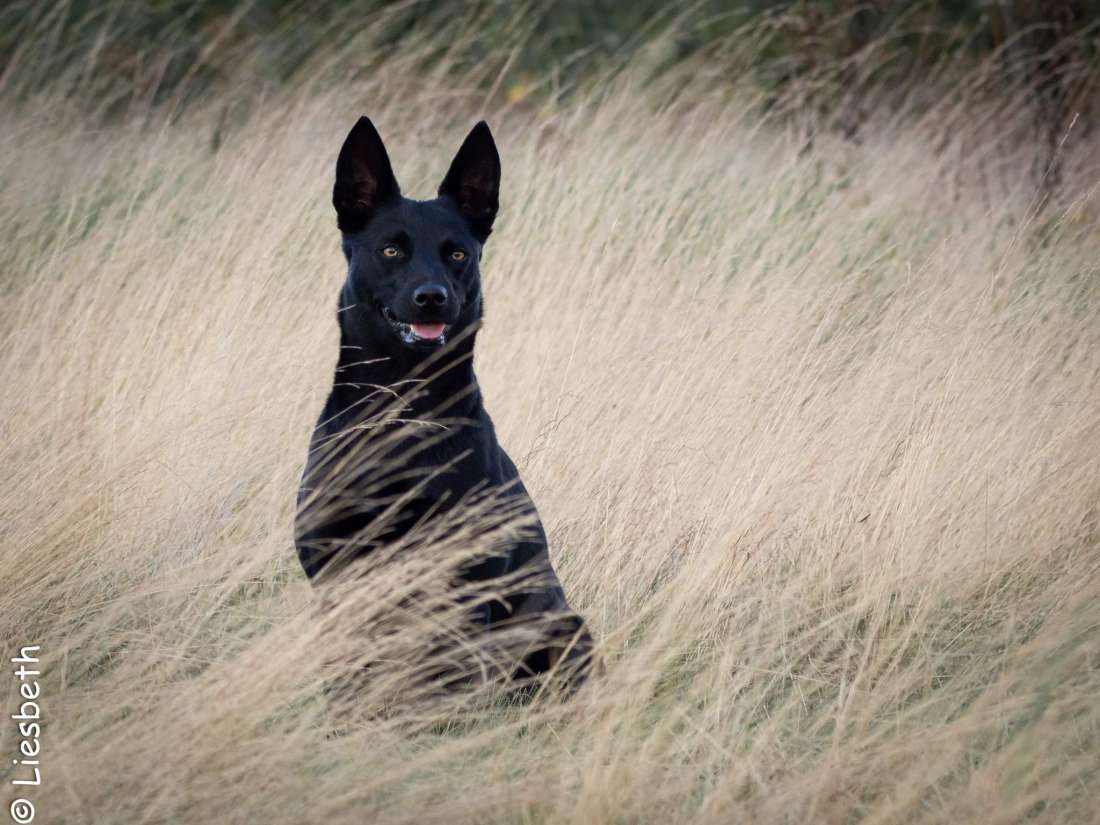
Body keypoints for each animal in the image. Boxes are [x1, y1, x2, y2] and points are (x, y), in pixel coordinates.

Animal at [294, 119, 594, 695]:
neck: (404, 410)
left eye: (458, 254)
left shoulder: (461, 583)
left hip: (563, 623)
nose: (432, 297)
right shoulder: (336, 574)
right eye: (391, 251)